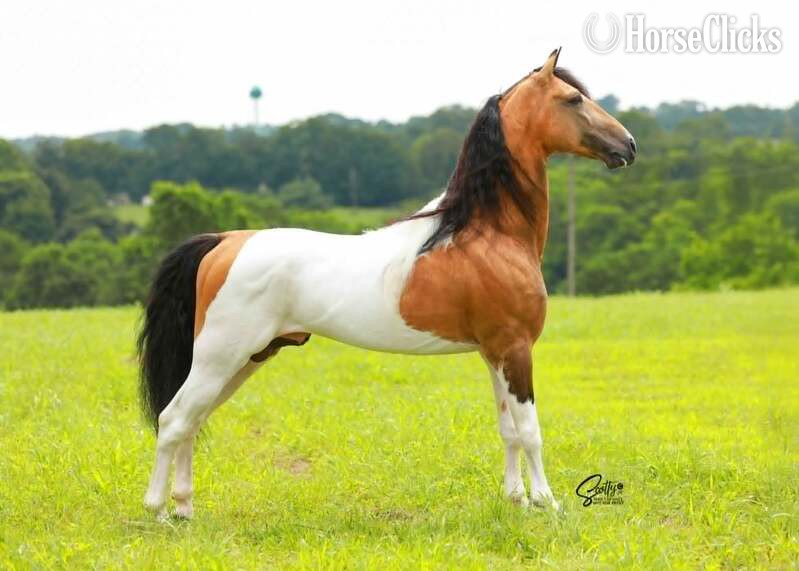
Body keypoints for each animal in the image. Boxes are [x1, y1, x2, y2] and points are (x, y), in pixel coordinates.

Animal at [138, 48, 636, 519]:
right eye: (572, 99)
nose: (628, 145)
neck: (487, 234)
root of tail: (225, 243)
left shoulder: (496, 353)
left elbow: (508, 430)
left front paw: (516, 500)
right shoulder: (516, 350)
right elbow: (530, 431)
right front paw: (547, 503)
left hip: (244, 359)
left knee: (191, 421)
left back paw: (184, 507)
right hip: (221, 357)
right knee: (175, 418)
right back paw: (159, 511)